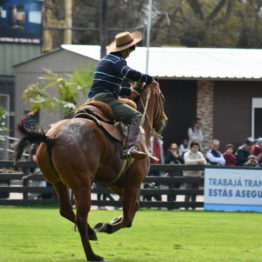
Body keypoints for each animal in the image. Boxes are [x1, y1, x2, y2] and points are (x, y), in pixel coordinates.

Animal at [15, 83, 167, 260]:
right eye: (162, 97)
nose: (163, 121)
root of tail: (52, 138)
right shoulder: (134, 181)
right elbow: (129, 217)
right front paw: (107, 226)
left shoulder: (116, 183)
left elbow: (132, 207)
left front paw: (110, 222)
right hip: (83, 186)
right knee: (80, 218)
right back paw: (93, 255)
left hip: (58, 183)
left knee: (66, 210)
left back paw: (91, 233)